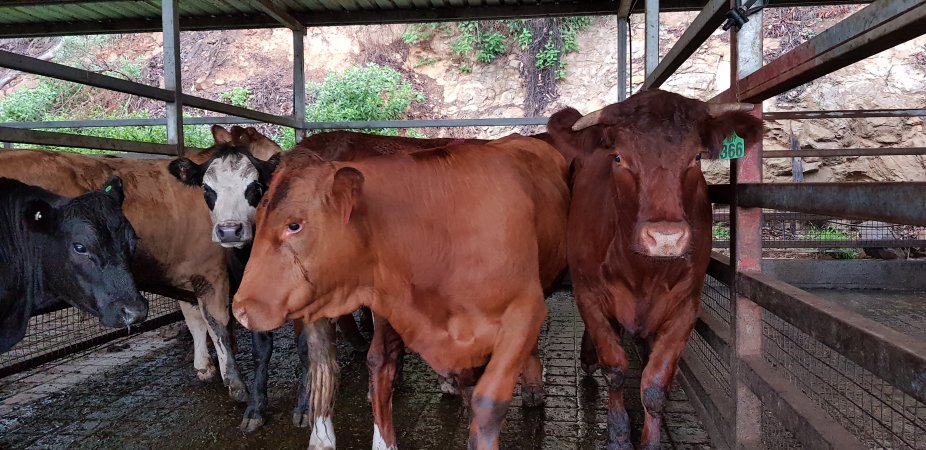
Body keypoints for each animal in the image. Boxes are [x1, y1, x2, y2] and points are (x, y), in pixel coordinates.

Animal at [544, 89, 760, 450]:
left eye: (696, 157)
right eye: (618, 158)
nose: (665, 237)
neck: (642, 272)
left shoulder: (686, 307)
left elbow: (655, 385)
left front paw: (650, 438)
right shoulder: (588, 295)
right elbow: (615, 369)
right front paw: (619, 435)